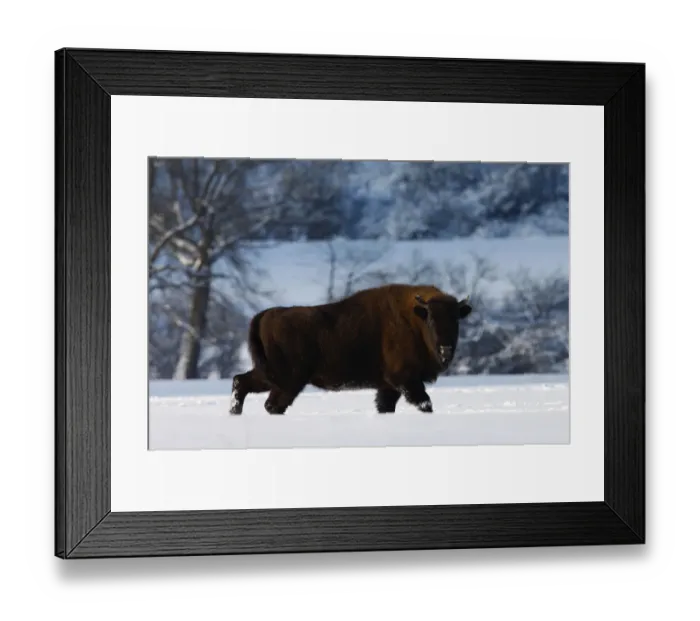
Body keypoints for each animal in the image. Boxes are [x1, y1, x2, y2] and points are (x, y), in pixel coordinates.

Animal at [229, 283, 473, 415]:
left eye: (456, 319)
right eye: (430, 319)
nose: (445, 349)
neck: (414, 319)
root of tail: (265, 315)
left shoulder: (389, 386)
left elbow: (385, 406)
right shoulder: (405, 379)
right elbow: (425, 402)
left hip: (271, 375)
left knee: (242, 382)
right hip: (287, 380)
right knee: (270, 402)